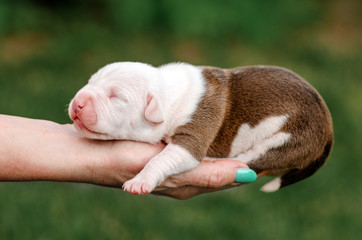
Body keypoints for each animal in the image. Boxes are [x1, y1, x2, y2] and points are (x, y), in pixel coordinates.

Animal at [68, 62, 334, 195]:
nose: (78, 103)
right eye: (91, 81)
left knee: (253, 159)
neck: (168, 94)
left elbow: (160, 159)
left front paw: (140, 181)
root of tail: (329, 131)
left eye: (117, 97)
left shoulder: (193, 135)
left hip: (288, 139)